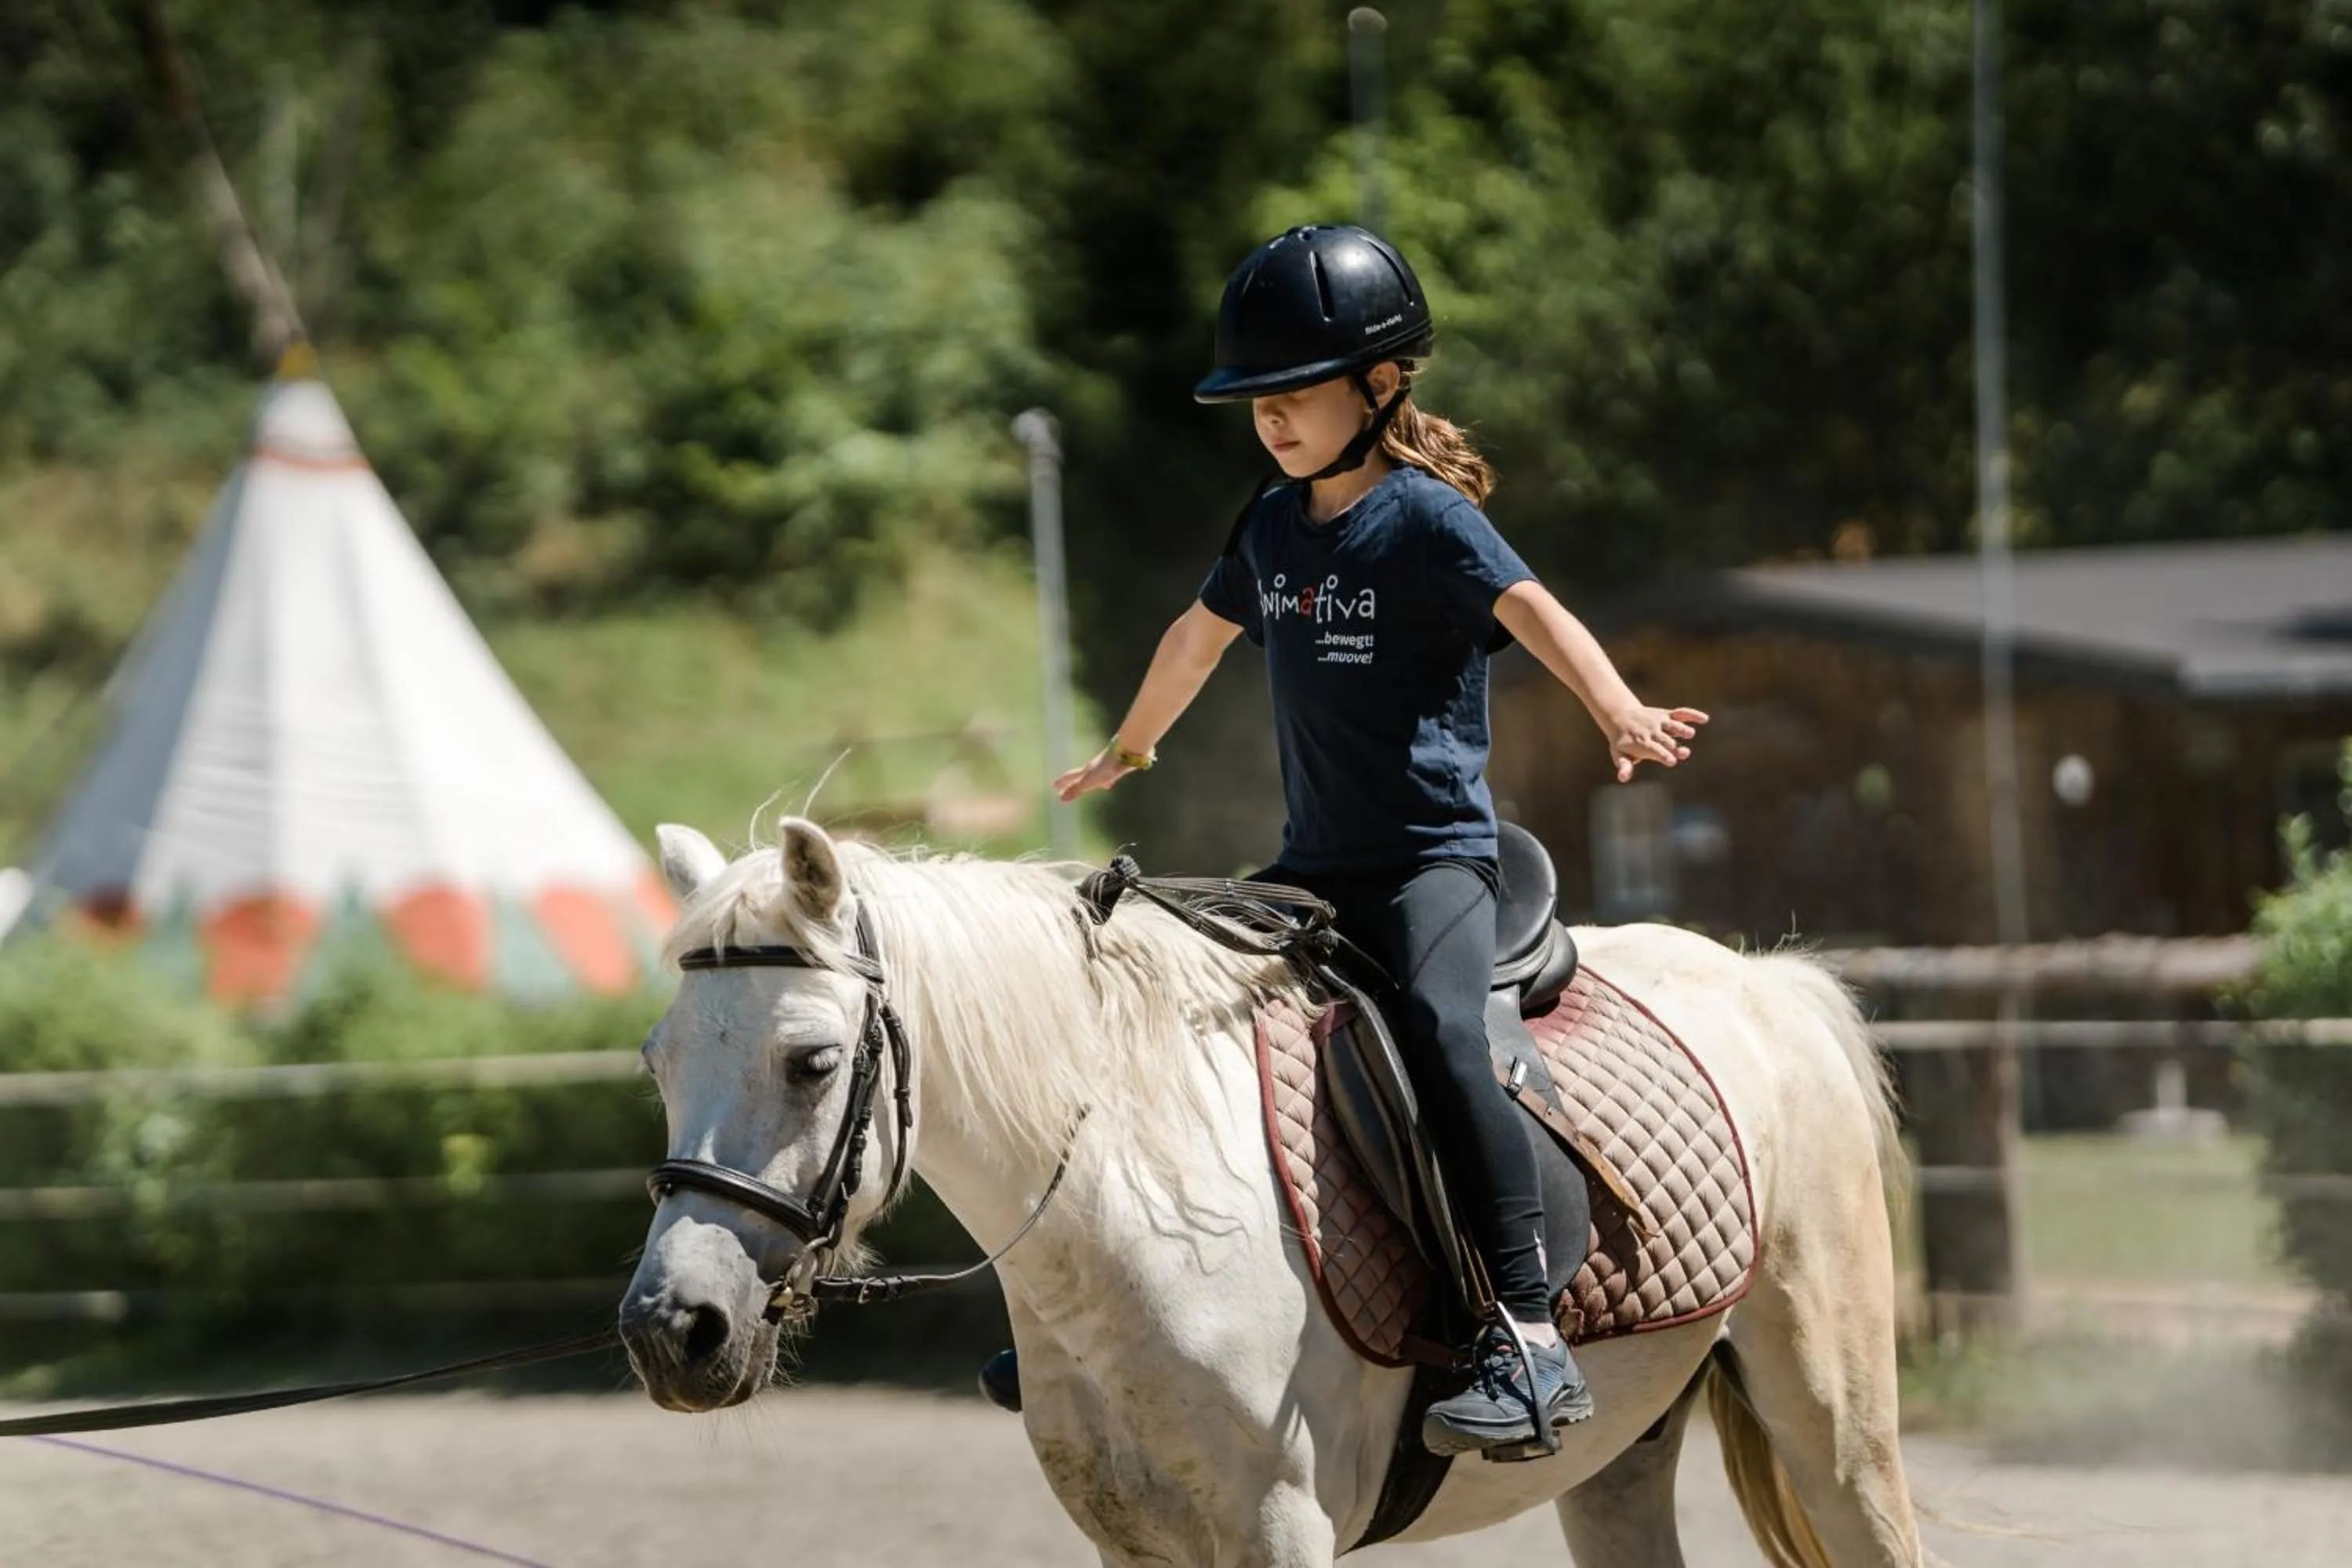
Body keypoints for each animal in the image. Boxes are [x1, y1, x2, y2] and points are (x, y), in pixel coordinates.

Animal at [620, 817, 1924, 1566]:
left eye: (811, 1062)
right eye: (657, 1061)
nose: (673, 1328)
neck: (1139, 1218)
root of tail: (1769, 983)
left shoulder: (1279, 1531)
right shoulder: (1136, 1548)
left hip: (1840, 1435)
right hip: (1617, 1468)